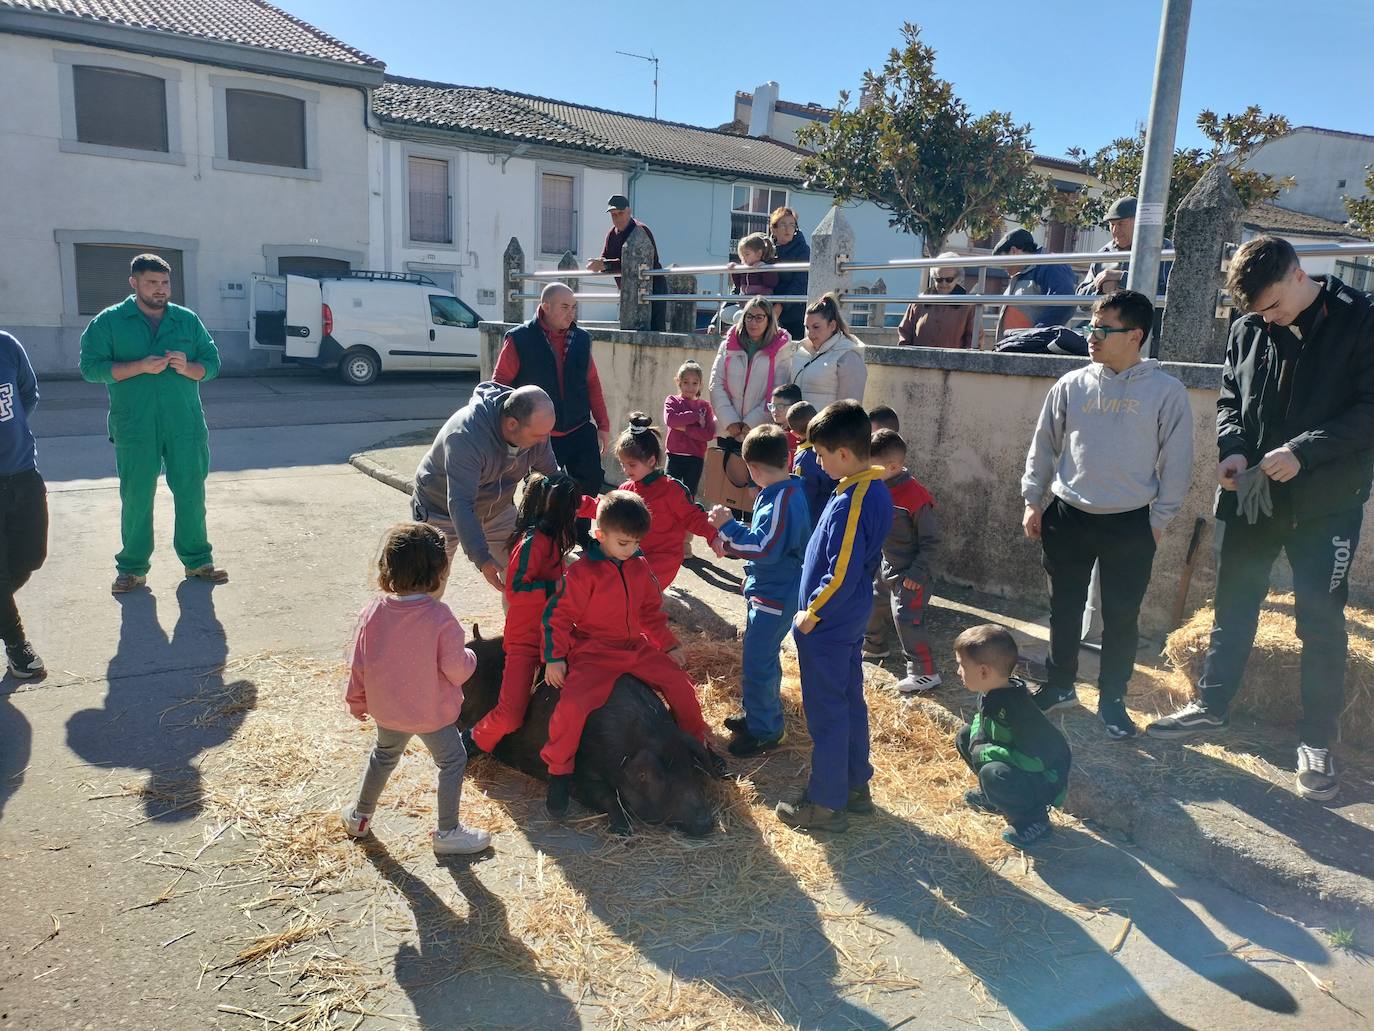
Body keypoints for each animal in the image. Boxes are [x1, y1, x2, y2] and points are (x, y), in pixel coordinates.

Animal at [461, 629, 719, 841]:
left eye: (691, 769)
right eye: (653, 778)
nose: (706, 822)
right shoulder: (582, 774)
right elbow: (605, 796)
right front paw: (623, 831)